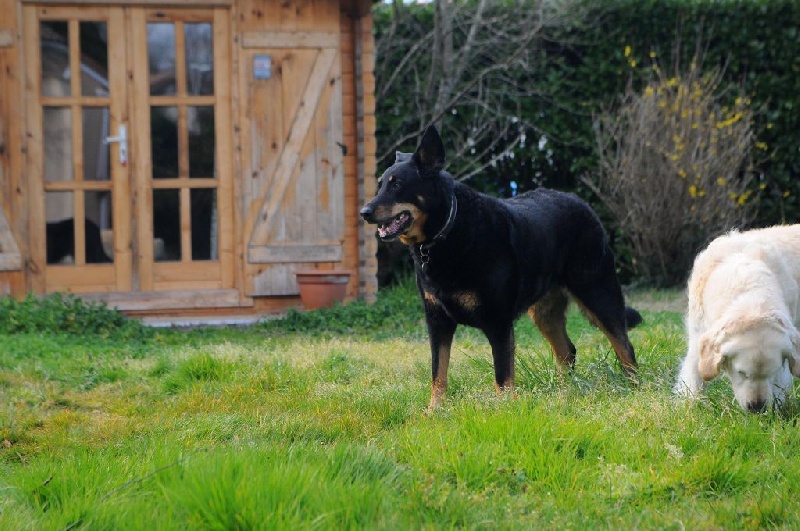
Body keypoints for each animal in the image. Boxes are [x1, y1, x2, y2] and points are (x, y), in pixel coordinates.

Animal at [362, 127, 644, 410]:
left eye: (397, 184)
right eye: (381, 184)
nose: (364, 212)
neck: (448, 232)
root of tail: (581, 203)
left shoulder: (497, 321)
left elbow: (502, 376)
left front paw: (503, 411)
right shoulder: (437, 320)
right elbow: (438, 373)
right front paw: (434, 410)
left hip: (598, 294)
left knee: (625, 346)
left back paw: (635, 389)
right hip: (544, 311)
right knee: (567, 352)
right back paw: (565, 393)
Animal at [676, 224, 800, 412]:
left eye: (770, 373)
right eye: (742, 373)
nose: (757, 407)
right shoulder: (698, 336)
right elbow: (694, 377)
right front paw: (691, 406)